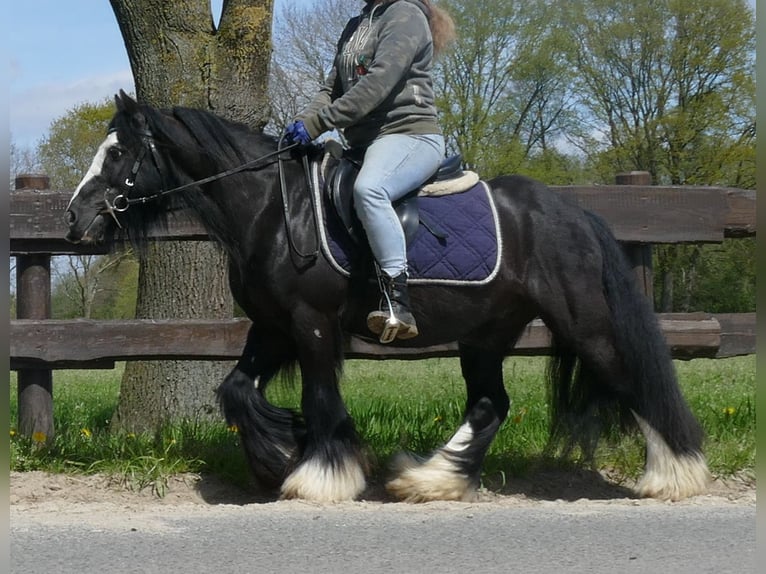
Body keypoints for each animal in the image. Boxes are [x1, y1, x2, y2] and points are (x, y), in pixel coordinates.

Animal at [63, 93, 712, 504]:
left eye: (117, 153)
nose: (74, 220)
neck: (273, 210)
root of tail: (572, 213)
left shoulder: (311, 322)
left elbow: (321, 398)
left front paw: (320, 474)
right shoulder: (271, 326)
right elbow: (238, 392)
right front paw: (279, 453)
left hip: (586, 325)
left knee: (635, 381)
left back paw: (675, 475)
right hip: (486, 334)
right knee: (490, 404)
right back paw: (429, 480)